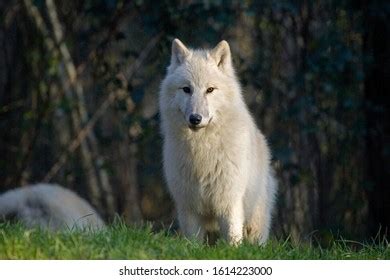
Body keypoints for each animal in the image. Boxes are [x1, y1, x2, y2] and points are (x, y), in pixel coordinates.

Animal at [159, 38, 278, 244]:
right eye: (186, 89)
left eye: (210, 90)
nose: (195, 118)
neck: (202, 150)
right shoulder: (189, 206)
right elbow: (193, 242)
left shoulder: (229, 201)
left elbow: (232, 238)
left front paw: (233, 250)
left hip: (255, 225)